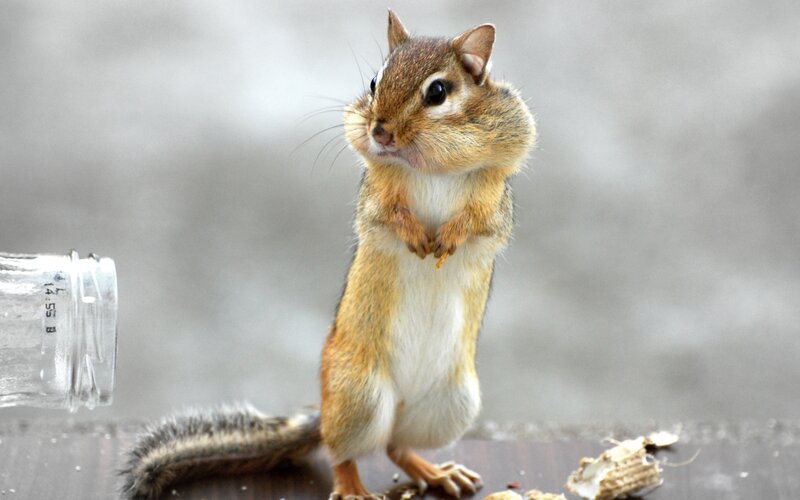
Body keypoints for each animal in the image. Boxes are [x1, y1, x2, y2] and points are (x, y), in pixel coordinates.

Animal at [121, 9, 536, 500]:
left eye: (438, 92)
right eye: (374, 81)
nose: (380, 131)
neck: (430, 166)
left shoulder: (492, 198)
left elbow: (478, 222)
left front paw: (448, 237)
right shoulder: (376, 195)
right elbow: (387, 215)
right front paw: (416, 235)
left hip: (449, 406)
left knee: (396, 446)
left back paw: (437, 472)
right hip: (359, 398)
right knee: (344, 452)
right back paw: (354, 486)